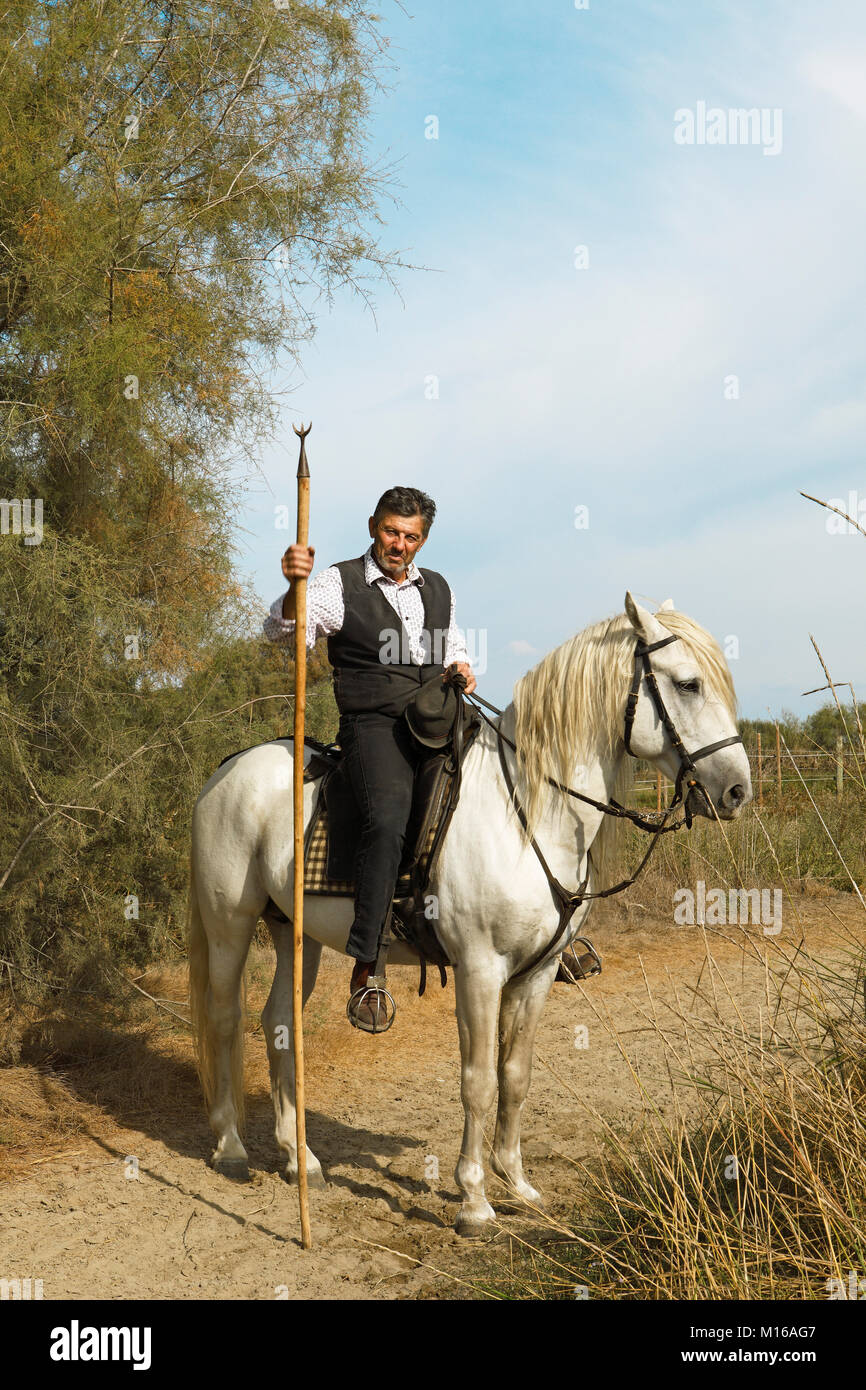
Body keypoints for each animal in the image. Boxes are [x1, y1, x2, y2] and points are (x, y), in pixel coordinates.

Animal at [189, 597, 750, 1239]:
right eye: (688, 684)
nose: (737, 790)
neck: (528, 812)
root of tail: (227, 769)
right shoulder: (481, 971)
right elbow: (478, 1081)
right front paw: (474, 1200)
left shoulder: (536, 975)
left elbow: (516, 1075)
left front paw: (518, 1182)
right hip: (228, 924)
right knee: (225, 1019)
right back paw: (231, 1147)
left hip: (294, 936)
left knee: (279, 1024)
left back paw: (298, 1159)